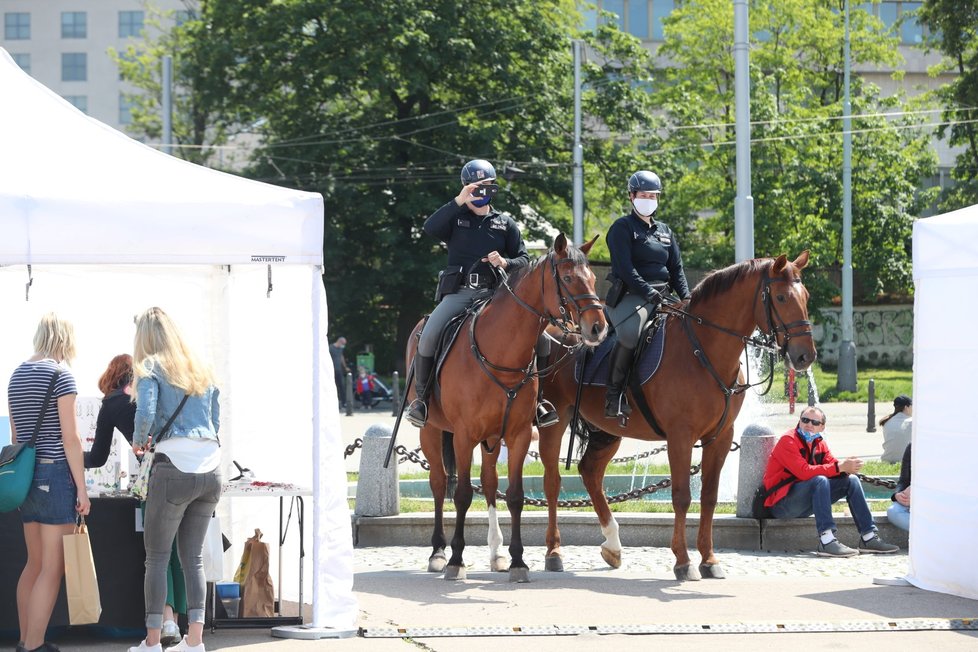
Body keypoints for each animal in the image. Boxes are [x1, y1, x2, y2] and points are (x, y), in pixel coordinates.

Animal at [406, 233, 608, 580]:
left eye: (593, 278)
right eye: (569, 278)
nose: (598, 327)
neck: (500, 352)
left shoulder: (517, 434)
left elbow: (514, 495)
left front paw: (517, 560)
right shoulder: (463, 436)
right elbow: (462, 494)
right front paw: (456, 559)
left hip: (491, 438)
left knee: (489, 484)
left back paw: (496, 553)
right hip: (431, 431)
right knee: (439, 483)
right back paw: (438, 552)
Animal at [532, 252, 816, 580]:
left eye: (806, 296)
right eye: (781, 297)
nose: (806, 356)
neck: (703, 349)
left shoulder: (721, 437)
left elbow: (709, 497)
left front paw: (709, 559)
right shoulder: (681, 436)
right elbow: (681, 497)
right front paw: (683, 560)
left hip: (608, 430)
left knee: (590, 472)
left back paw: (613, 545)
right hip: (555, 422)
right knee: (552, 482)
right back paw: (554, 552)